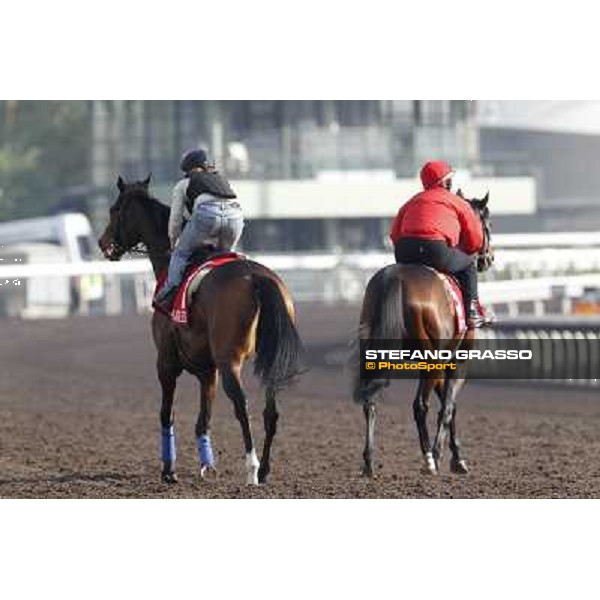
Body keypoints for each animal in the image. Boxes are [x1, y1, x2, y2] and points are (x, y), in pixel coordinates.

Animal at [100, 176, 304, 486]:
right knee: (271, 411)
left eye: (114, 209)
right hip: (269, 357)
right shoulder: (208, 371)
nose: (103, 243)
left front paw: (168, 470)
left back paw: (252, 469)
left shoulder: (166, 363)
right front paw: (207, 466)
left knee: (241, 405)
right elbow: (202, 420)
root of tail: (256, 277)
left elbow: (167, 414)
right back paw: (265, 470)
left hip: (230, 360)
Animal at [352, 192, 492, 478]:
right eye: (486, 225)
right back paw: (428, 458)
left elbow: (450, 406)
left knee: (370, 402)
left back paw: (369, 462)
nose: (488, 258)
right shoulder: (456, 360)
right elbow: (448, 407)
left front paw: (456, 458)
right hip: (431, 359)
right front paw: (447, 457)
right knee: (419, 405)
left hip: (374, 353)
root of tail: (395, 279)